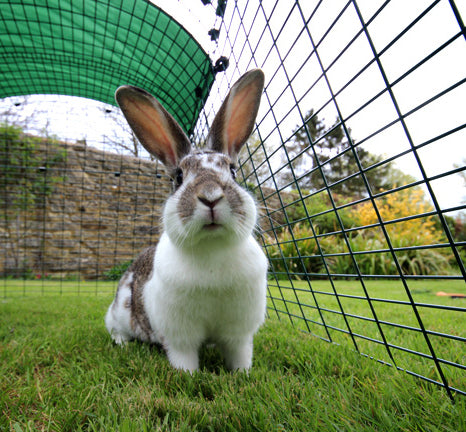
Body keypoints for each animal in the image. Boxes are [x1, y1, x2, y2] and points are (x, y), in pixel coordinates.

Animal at [104, 69, 268, 372]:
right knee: (115, 329)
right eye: (179, 177)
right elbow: (184, 357)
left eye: (233, 171)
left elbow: (239, 355)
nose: (211, 197)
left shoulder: (239, 334)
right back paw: (122, 343)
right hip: (118, 314)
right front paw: (188, 375)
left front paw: (242, 374)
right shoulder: (180, 335)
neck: (212, 250)